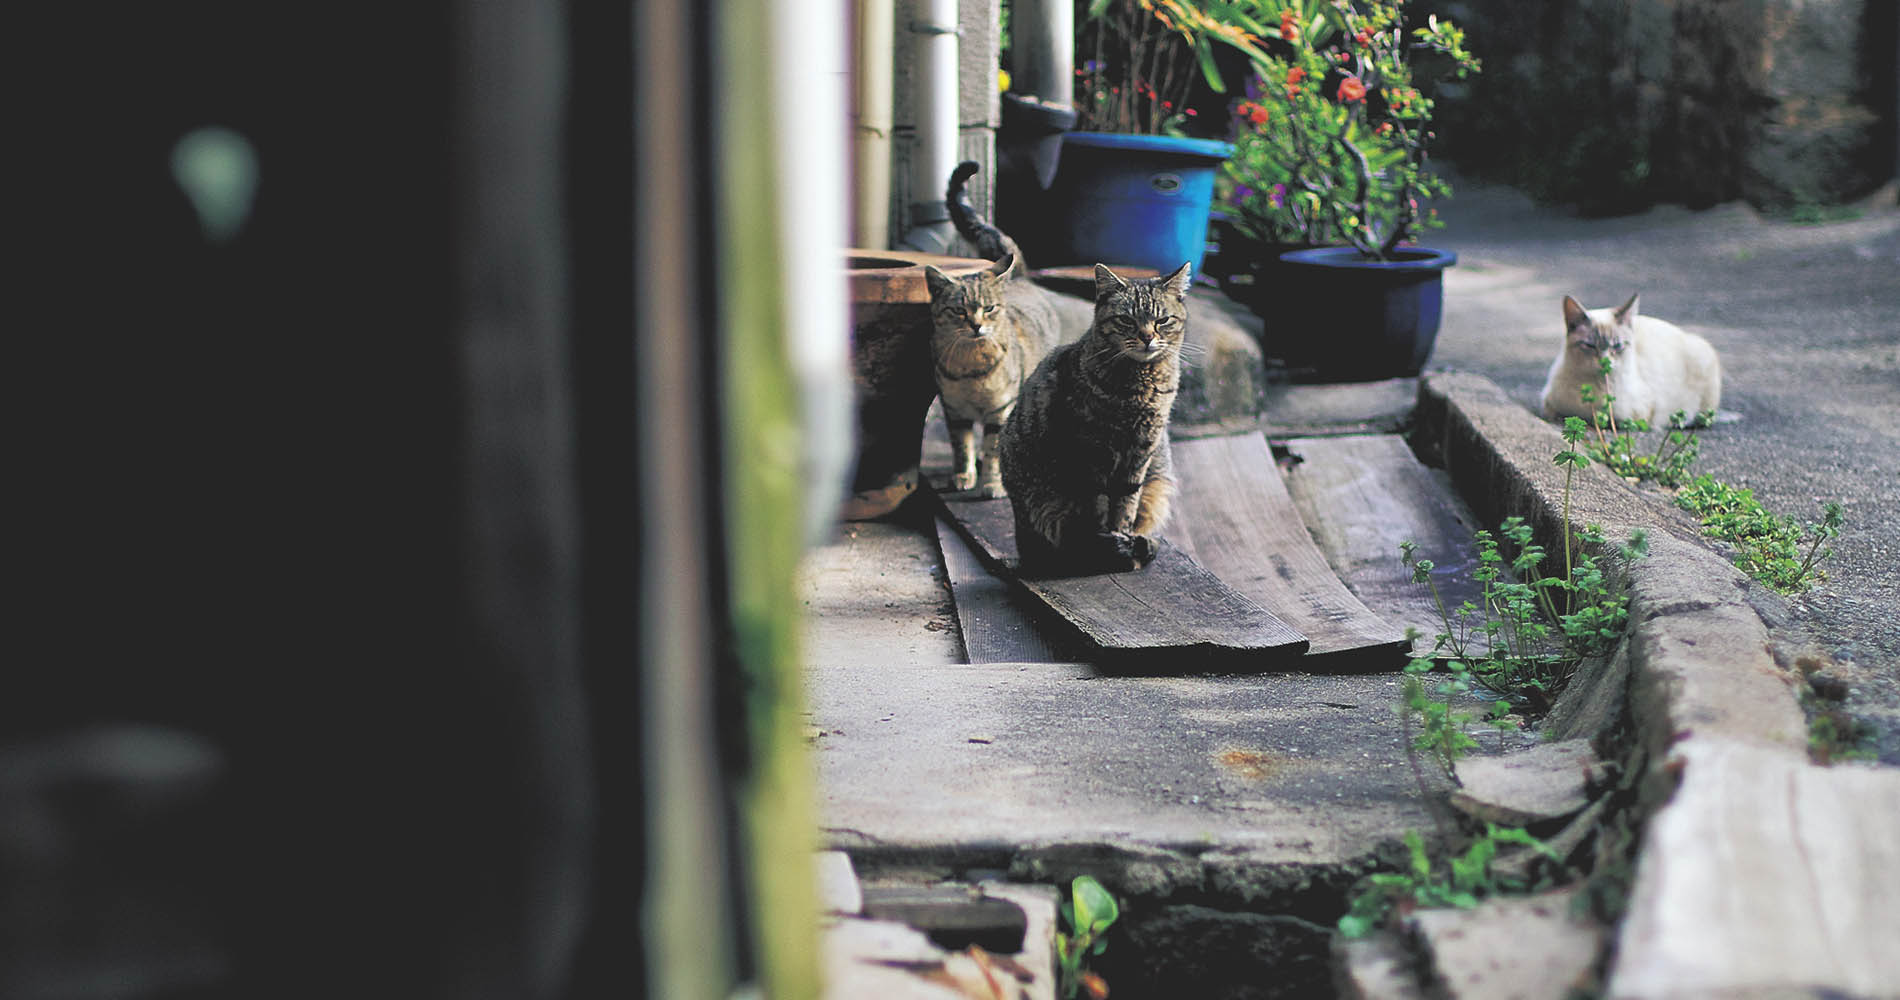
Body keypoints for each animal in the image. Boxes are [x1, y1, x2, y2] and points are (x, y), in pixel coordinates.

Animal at [995, 260, 1185, 581]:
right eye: (1126, 320)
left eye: (1162, 320)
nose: (1147, 337)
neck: (1139, 384)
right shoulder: (1091, 451)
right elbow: (1097, 506)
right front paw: (1106, 544)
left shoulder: (1140, 452)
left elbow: (1126, 504)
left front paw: (1121, 537)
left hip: (1157, 483)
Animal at [1542, 292, 1725, 429]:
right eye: (1590, 345)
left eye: (1617, 346)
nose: (1605, 362)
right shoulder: (1548, 403)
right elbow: (1557, 414)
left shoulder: (1637, 414)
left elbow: (1609, 420)